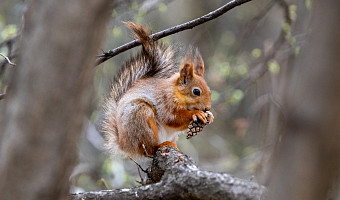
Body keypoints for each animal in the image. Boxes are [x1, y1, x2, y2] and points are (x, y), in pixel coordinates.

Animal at [101, 22, 212, 158]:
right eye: (196, 91)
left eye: (210, 91)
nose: (207, 108)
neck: (176, 93)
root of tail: (125, 145)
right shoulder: (164, 102)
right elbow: (173, 118)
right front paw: (196, 113)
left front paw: (210, 116)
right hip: (140, 117)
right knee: (149, 150)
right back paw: (160, 145)